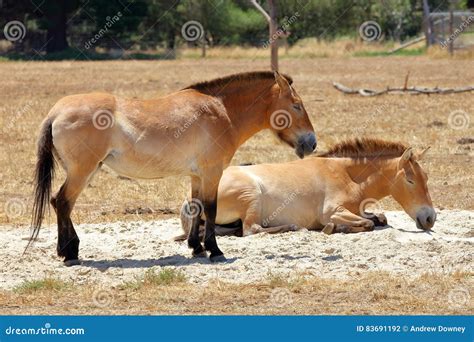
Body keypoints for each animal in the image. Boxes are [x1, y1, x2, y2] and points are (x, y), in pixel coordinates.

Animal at [30, 71, 318, 264]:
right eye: (296, 105)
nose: (312, 143)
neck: (221, 110)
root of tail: (56, 112)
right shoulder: (212, 172)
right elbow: (210, 209)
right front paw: (215, 250)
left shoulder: (197, 175)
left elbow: (196, 207)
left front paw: (196, 248)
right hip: (83, 171)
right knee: (63, 202)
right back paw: (69, 253)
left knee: (60, 202)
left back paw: (67, 250)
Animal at [178, 138, 436, 236]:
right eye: (410, 180)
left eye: (426, 177)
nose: (430, 218)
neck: (346, 174)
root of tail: (189, 199)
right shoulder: (332, 211)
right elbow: (367, 223)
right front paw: (334, 228)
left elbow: (379, 218)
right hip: (252, 196)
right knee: (252, 229)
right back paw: (292, 227)